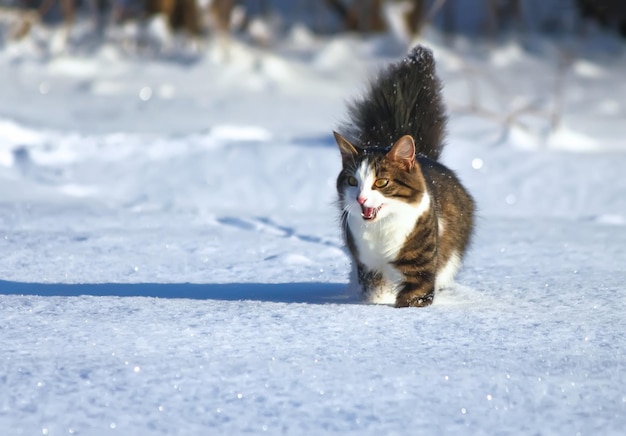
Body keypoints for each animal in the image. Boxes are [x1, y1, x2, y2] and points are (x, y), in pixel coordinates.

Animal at [334, 45, 470, 306]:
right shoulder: (366, 263)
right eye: (352, 181)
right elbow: (373, 291)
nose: (360, 198)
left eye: (381, 182)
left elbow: (414, 296)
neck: (380, 231)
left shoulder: (420, 266)